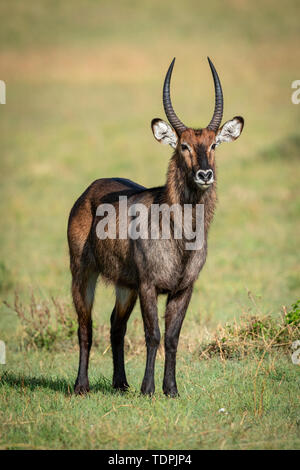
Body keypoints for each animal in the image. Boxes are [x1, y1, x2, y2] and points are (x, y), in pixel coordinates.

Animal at [67, 57, 244, 396]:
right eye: (184, 146)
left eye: (214, 144)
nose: (204, 174)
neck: (180, 236)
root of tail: (88, 190)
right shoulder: (149, 285)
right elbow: (154, 335)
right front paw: (148, 388)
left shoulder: (184, 288)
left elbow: (173, 338)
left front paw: (171, 389)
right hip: (83, 273)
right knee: (86, 326)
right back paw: (82, 385)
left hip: (125, 285)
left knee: (116, 325)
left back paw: (121, 383)